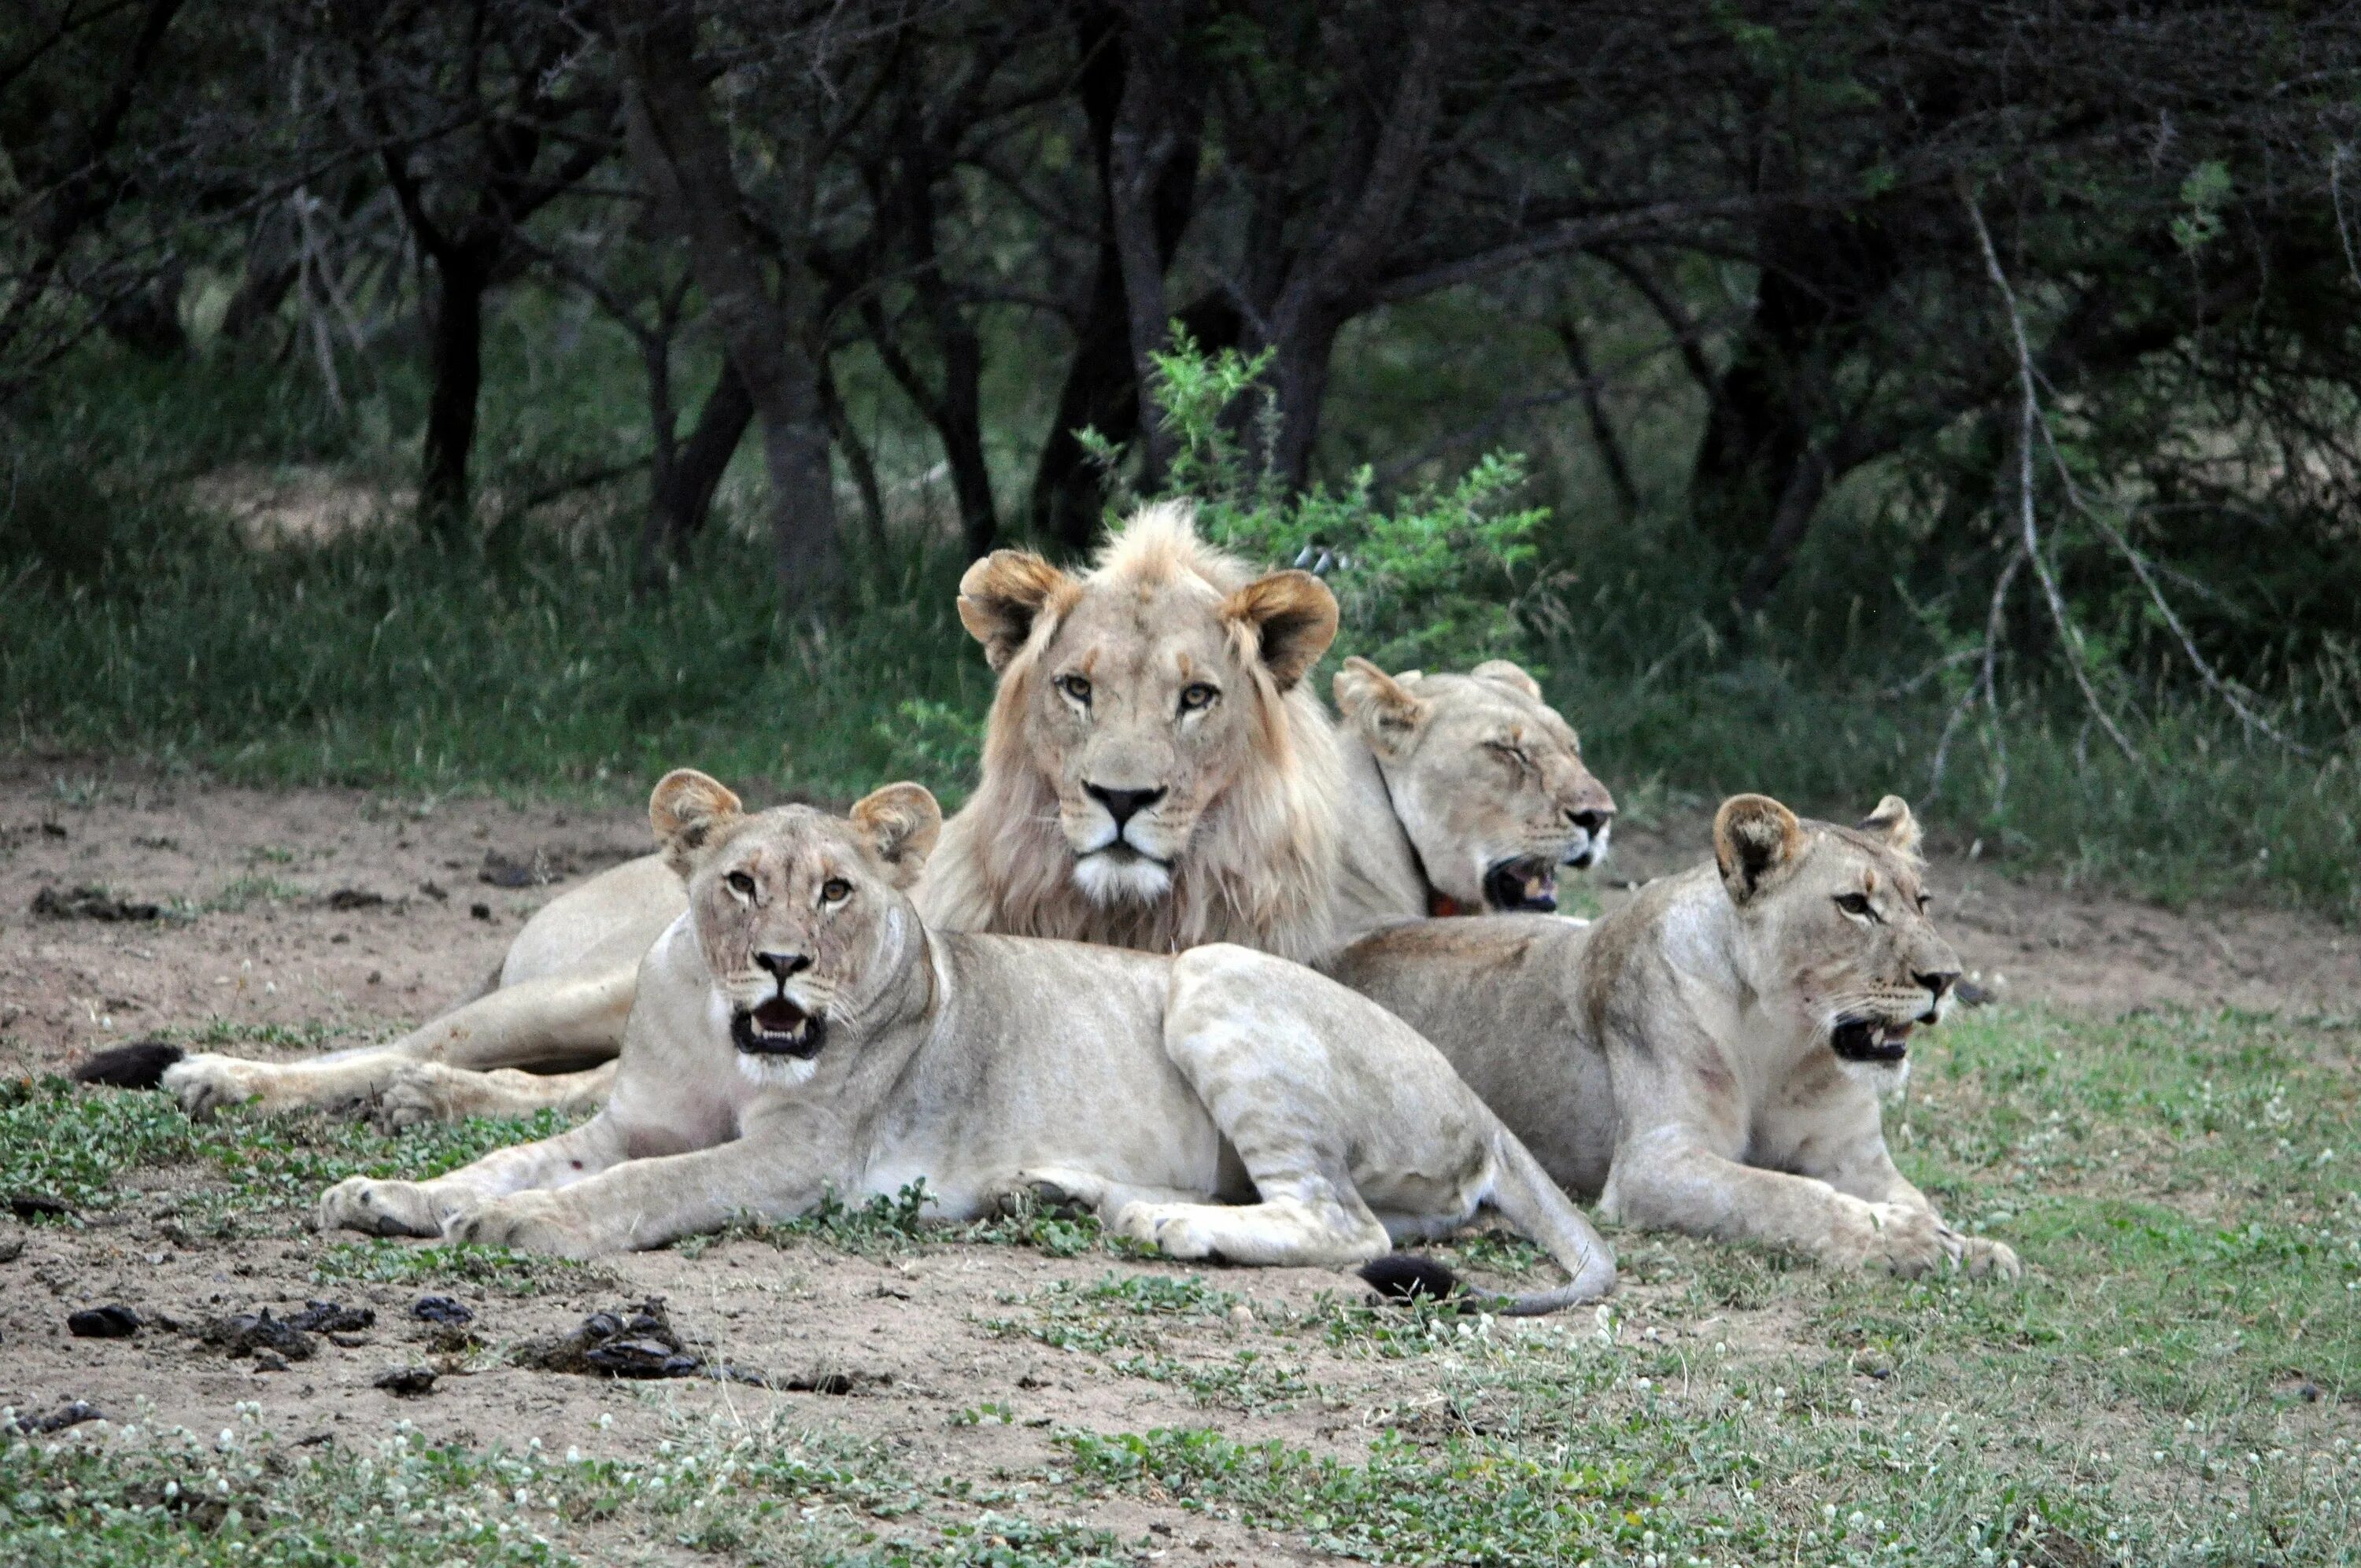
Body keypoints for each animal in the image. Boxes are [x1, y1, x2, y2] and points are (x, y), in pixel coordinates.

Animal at [319, 769, 1624, 1312]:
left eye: (837, 891)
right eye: (740, 882)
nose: (782, 962)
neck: (726, 1037)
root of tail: (1471, 1092)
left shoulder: (796, 1163)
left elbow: (642, 1189)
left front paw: (521, 1227)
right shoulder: (626, 1118)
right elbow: (521, 1157)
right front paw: (392, 1194)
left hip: (1213, 976)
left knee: (1341, 1223)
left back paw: (1160, 1226)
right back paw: (1063, 1193)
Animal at [1322, 788, 2021, 1284]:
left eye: (1922, 901)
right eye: (1854, 904)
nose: (1947, 978)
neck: (1784, 1041)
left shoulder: (1854, 1158)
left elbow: (1915, 1198)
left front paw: (1975, 1246)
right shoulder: (1655, 1163)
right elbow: (1787, 1195)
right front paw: (1908, 1241)